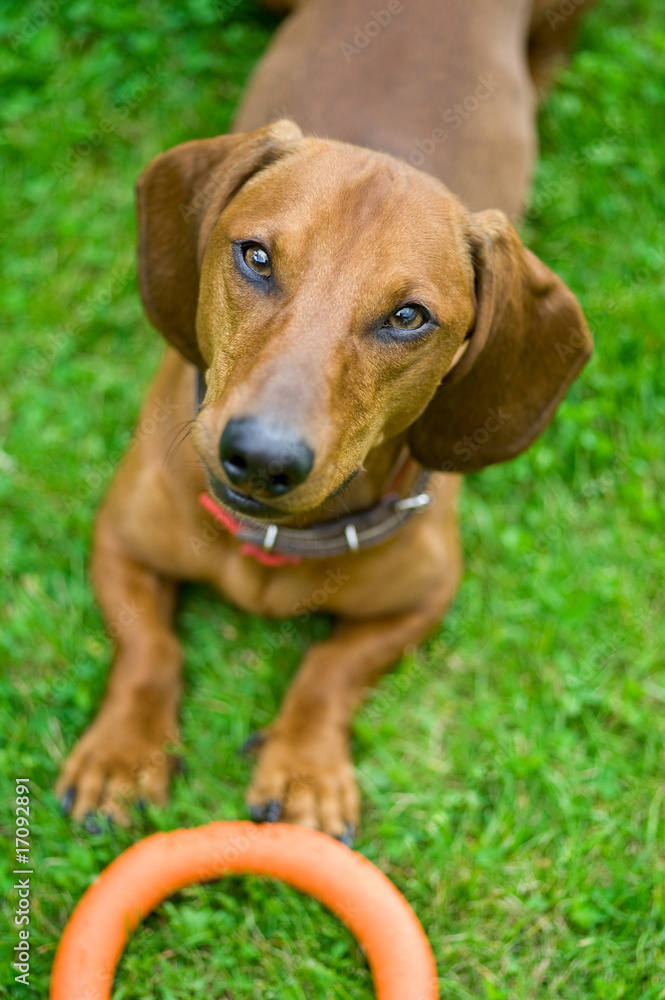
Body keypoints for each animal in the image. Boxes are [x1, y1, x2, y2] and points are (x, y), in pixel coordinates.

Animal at [58, 0, 592, 840]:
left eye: (408, 317)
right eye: (255, 256)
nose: (261, 458)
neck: (273, 544)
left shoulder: (425, 597)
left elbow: (330, 670)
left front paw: (305, 766)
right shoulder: (119, 539)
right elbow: (148, 648)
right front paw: (123, 753)